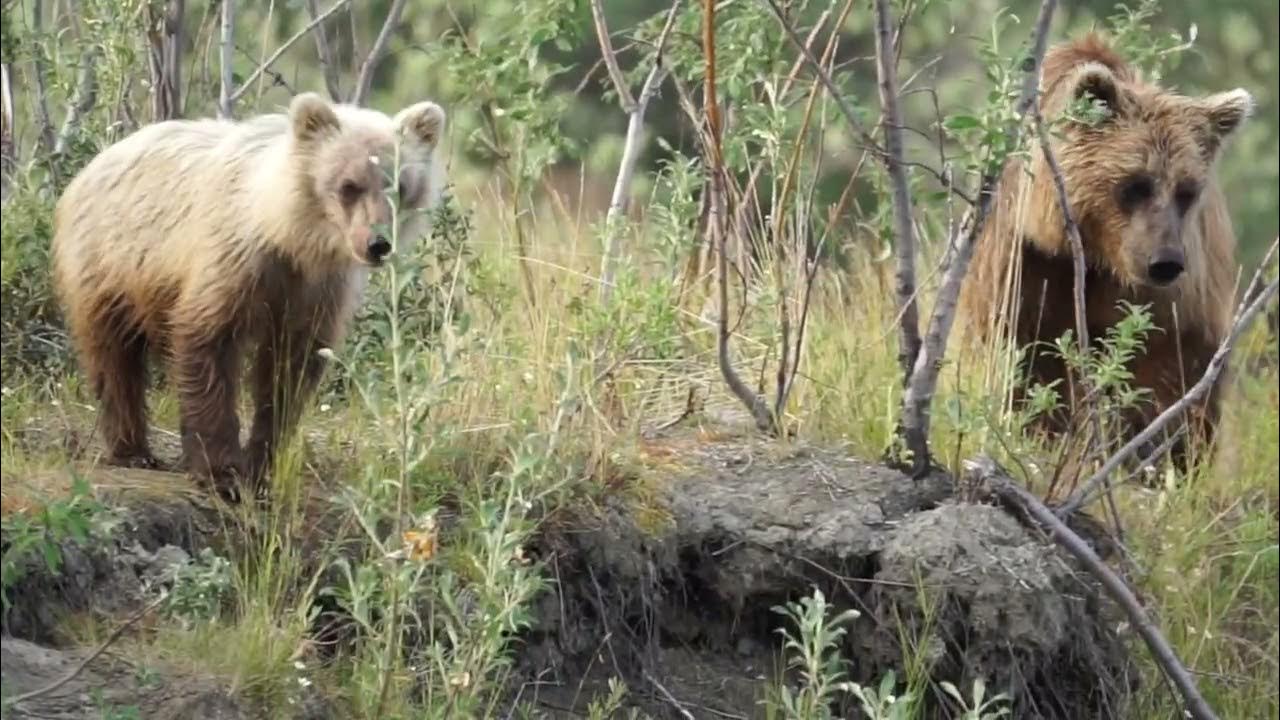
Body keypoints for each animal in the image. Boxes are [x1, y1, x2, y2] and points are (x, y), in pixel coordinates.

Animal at [51, 92, 446, 497]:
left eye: (400, 185)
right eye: (349, 185)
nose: (378, 243)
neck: (290, 237)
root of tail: (94, 162)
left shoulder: (317, 292)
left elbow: (289, 372)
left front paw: (262, 462)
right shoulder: (234, 263)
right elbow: (208, 346)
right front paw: (222, 471)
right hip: (112, 261)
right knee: (114, 355)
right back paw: (131, 449)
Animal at [961, 33, 1253, 468]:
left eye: (1186, 191)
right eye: (1136, 184)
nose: (1165, 262)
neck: (1090, 252)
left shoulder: (1162, 296)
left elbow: (1161, 368)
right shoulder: (1024, 260)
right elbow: (1022, 354)